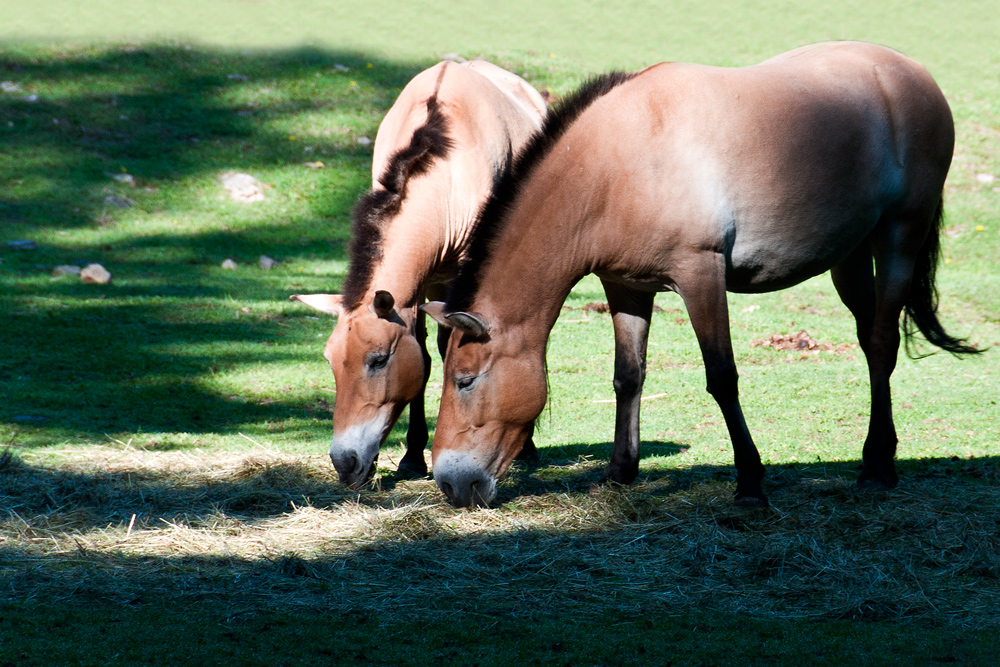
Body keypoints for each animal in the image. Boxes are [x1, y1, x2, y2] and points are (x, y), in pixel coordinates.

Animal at [292, 60, 552, 488]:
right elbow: (425, 358)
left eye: (378, 359)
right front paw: (412, 458)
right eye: (331, 360)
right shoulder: (416, 292)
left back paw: (527, 448)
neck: (446, 177)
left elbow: (450, 354)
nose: (345, 463)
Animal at [424, 41, 984, 508]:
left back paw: (879, 466)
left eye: (465, 380)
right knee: (870, 342)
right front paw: (620, 471)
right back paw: (876, 456)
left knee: (884, 342)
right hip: (848, 257)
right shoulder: (626, 287)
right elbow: (628, 376)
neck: (615, 166)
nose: (451, 483)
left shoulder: (700, 274)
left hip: (899, 236)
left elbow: (722, 378)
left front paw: (751, 481)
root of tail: (913, 74)